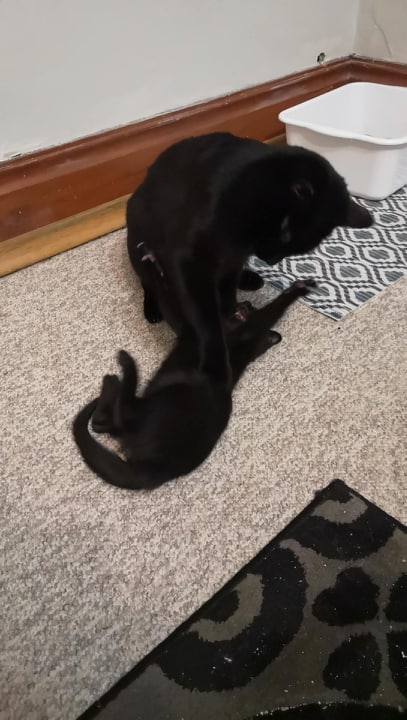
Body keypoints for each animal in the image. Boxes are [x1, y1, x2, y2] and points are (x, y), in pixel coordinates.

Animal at [72, 278, 316, 492]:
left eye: (252, 308)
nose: (245, 303)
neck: (239, 350)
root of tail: (153, 470)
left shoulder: (243, 330)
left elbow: (271, 311)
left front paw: (298, 289)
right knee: (103, 423)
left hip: (160, 402)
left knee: (117, 412)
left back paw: (119, 371)